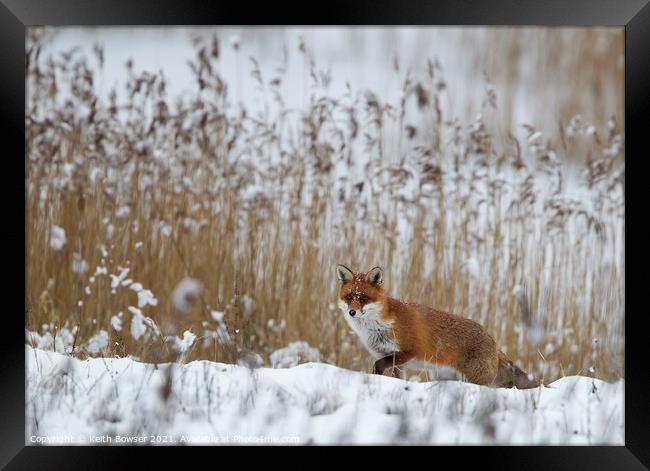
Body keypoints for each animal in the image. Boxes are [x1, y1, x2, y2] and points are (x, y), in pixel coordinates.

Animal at [334, 264, 536, 390]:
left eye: (363, 298)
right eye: (349, 297)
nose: (352, 312)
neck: (378, 326)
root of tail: (493, 339)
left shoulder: (409, 351)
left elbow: (378, 365)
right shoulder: (394, 360)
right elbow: (393, 376)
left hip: (475, 378)